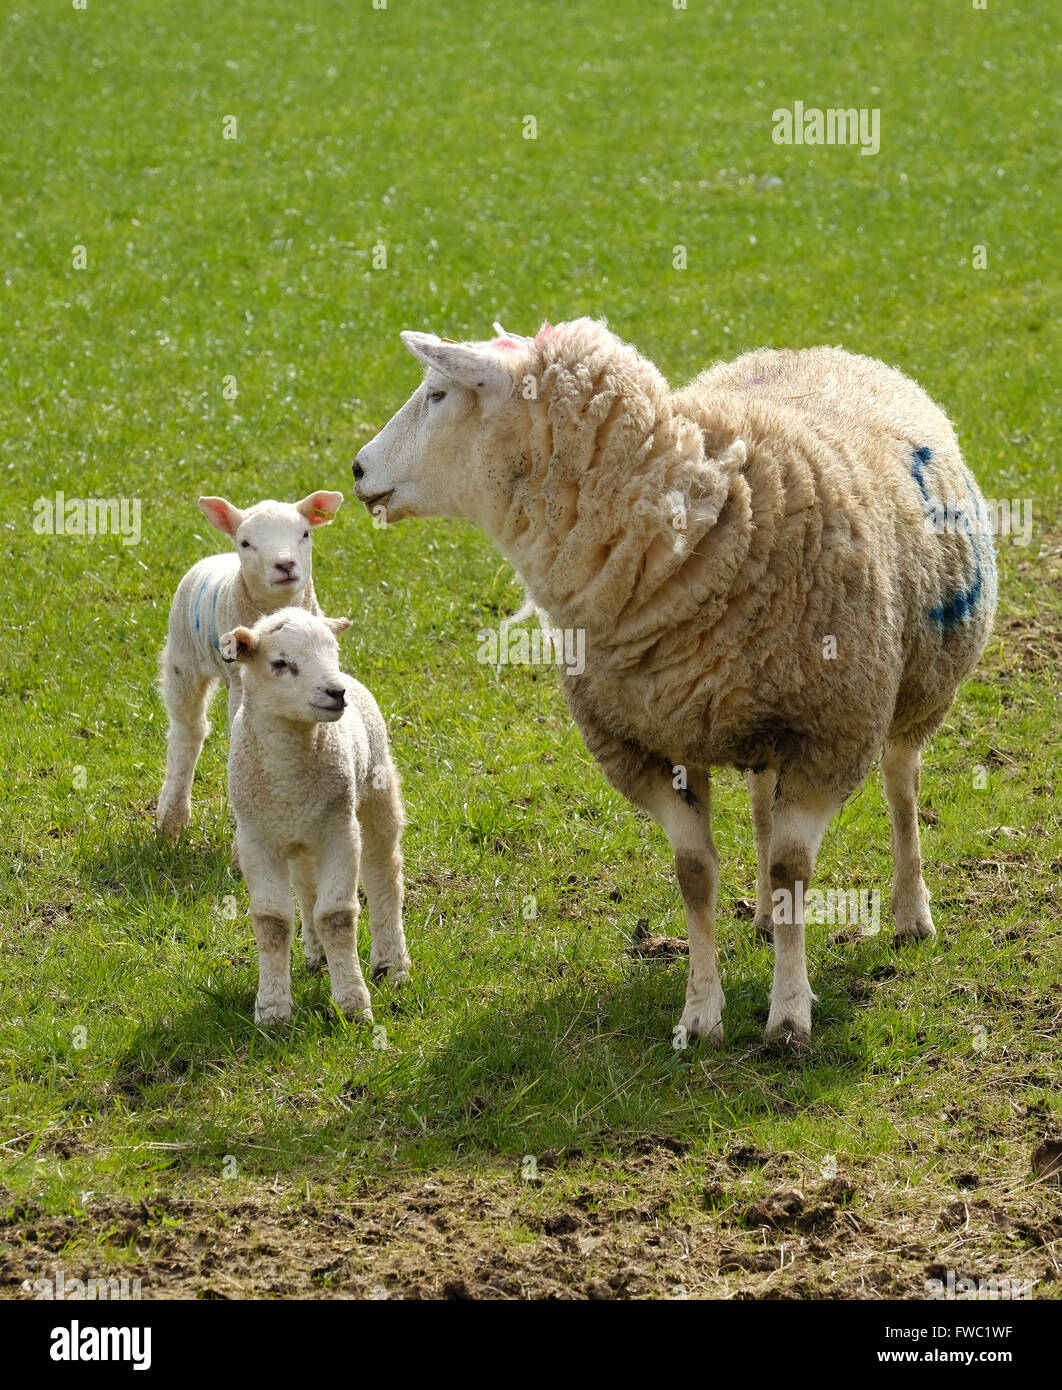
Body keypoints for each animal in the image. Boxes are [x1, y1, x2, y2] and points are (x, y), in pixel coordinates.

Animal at [155, 489, 340, 834]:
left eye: (305, 534)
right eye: (246, 543)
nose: (284, 564)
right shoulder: (241, 681)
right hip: (182, 659)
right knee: (187, 732)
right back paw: (172, 816)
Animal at [219, 606, 411, 1023]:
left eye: (332, 653)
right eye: (280, 663)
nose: (336, 692)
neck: (288, 775)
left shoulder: (340, 832)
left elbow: (336, 915)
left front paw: (353, 1005)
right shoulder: (256, 838)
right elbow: (272, 922)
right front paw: (272, 1010)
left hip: (376, 794)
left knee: (384, 873)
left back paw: (391, 964)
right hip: (303, 835)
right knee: (306, 886)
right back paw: (316, 954)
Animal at [353, 319, 1000, 1045]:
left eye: (438, 394)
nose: (357, 469)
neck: (686, 525)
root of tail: (810, 349)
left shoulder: (832, 730)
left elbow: (793, 869)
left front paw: (789, 1015)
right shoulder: (646, 746)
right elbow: (695, 876)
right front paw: (700, 1014)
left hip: (914, 693)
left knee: (901, 790)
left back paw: (911, 915)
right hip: (748, 715)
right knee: (762, 802)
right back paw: (766, 919)